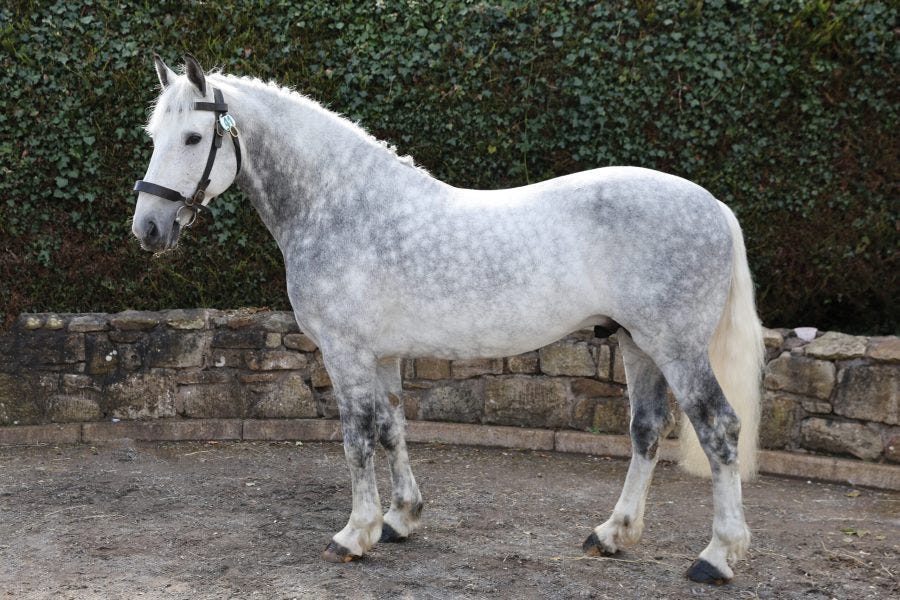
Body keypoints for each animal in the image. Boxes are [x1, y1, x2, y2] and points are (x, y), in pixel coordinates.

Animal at [131, 54, 764, 585]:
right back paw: (612, 535)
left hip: (677, 347)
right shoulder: (383, 354)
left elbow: (356, 437)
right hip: (637, 344)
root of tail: (713, 205)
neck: (344, 207)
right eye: (154, 136)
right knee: (647, 430)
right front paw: (399, 520)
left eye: (194, 137)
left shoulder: (345, 351)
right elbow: (391, 429)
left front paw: (354, 534)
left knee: (719, 428)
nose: (148, 228)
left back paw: (715, 556)